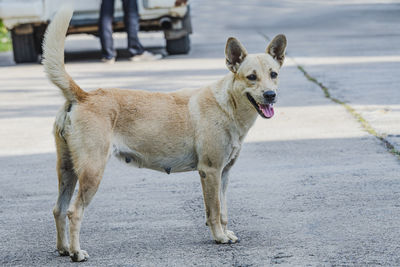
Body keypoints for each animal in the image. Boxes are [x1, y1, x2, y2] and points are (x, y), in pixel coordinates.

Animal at [43, 6, 286, 264]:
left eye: (273, 74)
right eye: (251, 77)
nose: (270, 95)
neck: (228, 103)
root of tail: (83, 95)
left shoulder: (224, 174)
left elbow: (223, 210)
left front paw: (225, 232)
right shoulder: (210, 171)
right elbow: (214, 210)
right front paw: (219, 237)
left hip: (67, 171)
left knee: (58, 209)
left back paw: (63, 248)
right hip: (92, 172)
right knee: (73, 211)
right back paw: (76, 252)